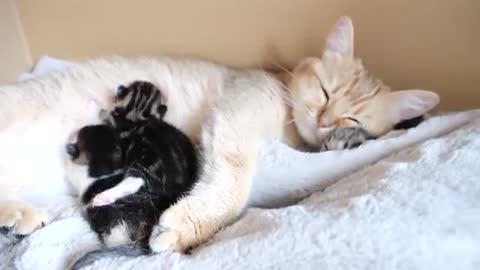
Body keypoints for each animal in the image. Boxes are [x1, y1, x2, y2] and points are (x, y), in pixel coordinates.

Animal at [65, 81, 197, 268]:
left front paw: (92, 106)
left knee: (133, 181)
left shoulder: (114, 125)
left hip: (141, 167)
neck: (137, 116)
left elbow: (104, 115)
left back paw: (103, 197)